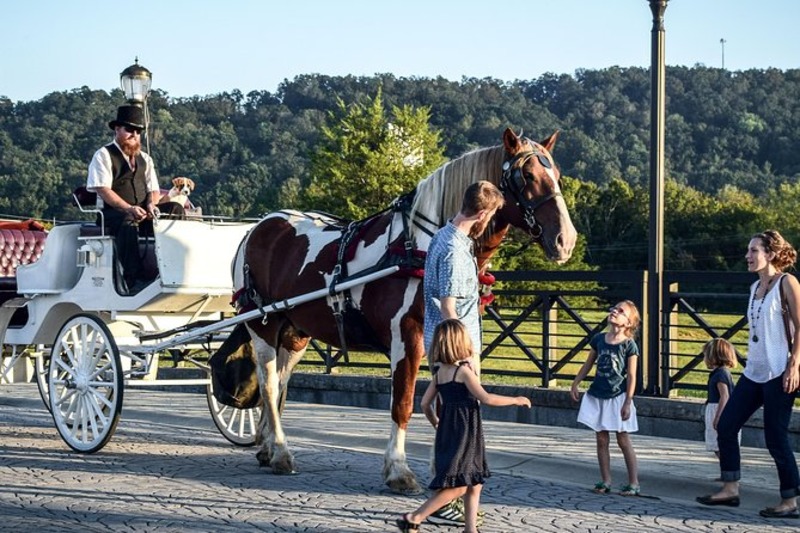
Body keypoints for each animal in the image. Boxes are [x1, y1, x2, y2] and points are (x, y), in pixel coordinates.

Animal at [231, 127, 576, 492]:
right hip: (263, 325)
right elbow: (404, 402)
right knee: (268, 383)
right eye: (527, 175)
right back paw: (281, 452)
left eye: (557, 175)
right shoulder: (407, 338)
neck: (424, 246)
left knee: (279, 382)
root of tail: (259, 226)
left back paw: (268, 446)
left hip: (296, 332)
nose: (565, 240)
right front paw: (398, 469)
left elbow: (448, 396)